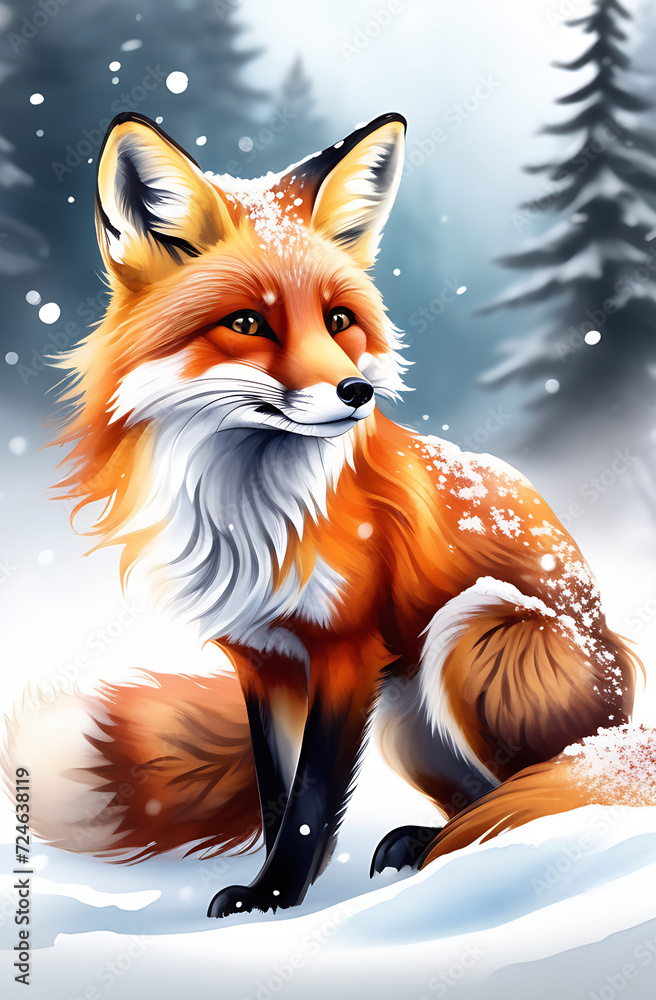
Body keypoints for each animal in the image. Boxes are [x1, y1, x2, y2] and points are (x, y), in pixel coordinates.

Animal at [5, 110, 656, 920]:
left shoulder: (345, 652)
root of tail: (624, 724)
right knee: (484, 798)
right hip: (407, 718)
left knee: (545, 795)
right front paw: (275, 898)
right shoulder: (262, 658)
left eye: (339, 319)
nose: (356, 392)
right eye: (248, 323)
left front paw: (275, 896)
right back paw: (424, 844)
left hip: (473, 629)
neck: (249, 518)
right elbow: (275, 791)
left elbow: (312, 798)